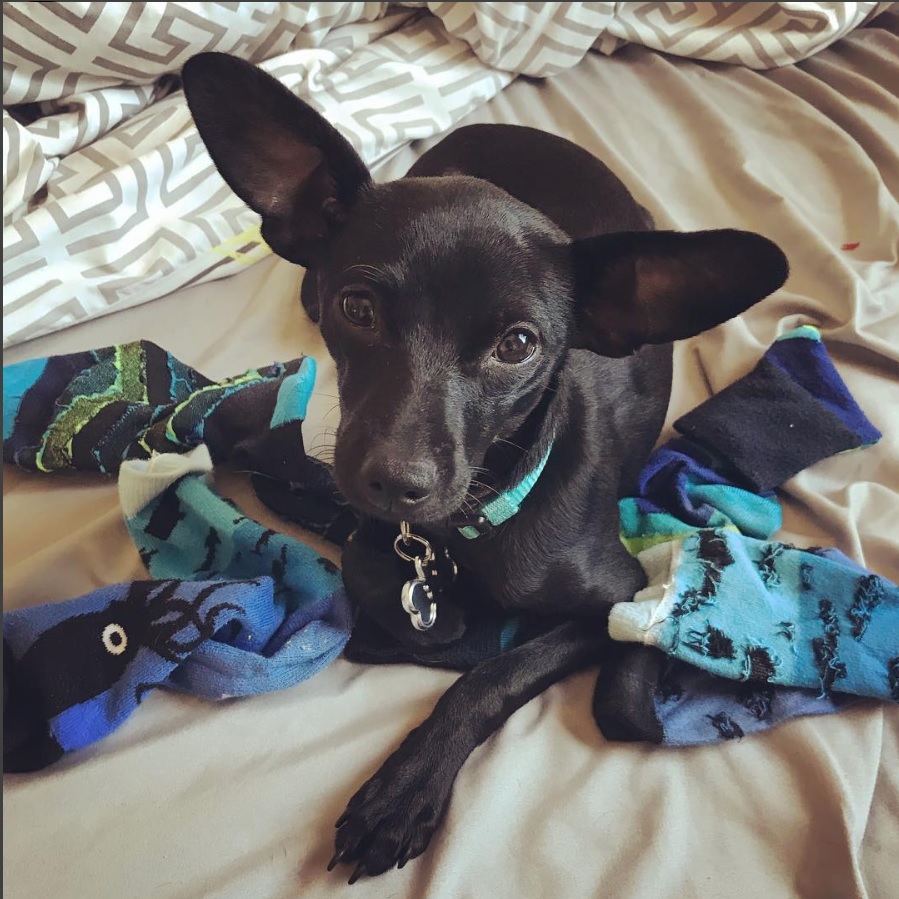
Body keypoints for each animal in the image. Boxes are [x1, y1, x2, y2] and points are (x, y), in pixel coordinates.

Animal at [181, 54, 788, 884]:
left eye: (517, 345)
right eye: (358, 307)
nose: (392, 482)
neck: (463, 528)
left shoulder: (616, 595)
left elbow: (495, 673)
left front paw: (402, 789)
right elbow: (392, 605)